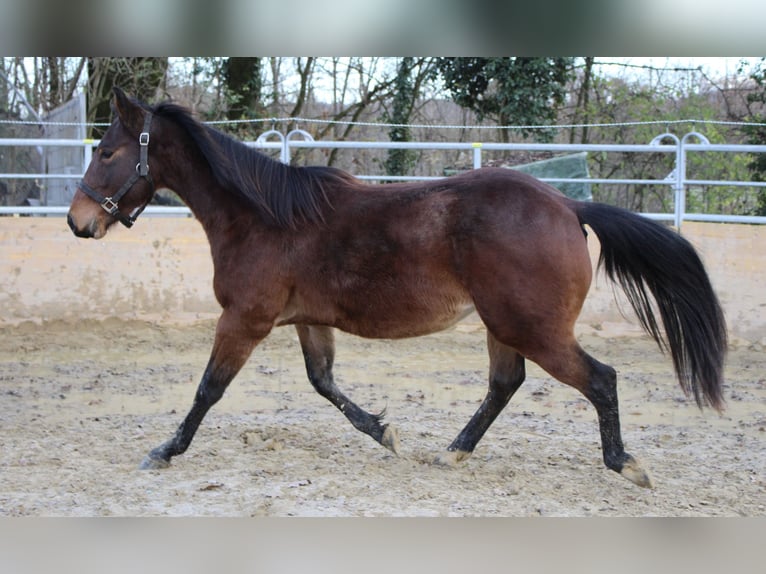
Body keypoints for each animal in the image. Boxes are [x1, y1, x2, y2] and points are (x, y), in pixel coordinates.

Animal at [67, 89, 732, 490]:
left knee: (600, 379)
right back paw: (452, 451)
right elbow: (323, 383)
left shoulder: (244, 320)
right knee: (505, 384)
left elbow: (209, 389)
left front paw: (164, 450)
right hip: (505, 326)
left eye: (108, 151)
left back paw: (627, 464)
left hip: (532, 328)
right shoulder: (307, 320)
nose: (78, 222)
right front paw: (385, 433)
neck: (262, 218)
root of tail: (568, 205)